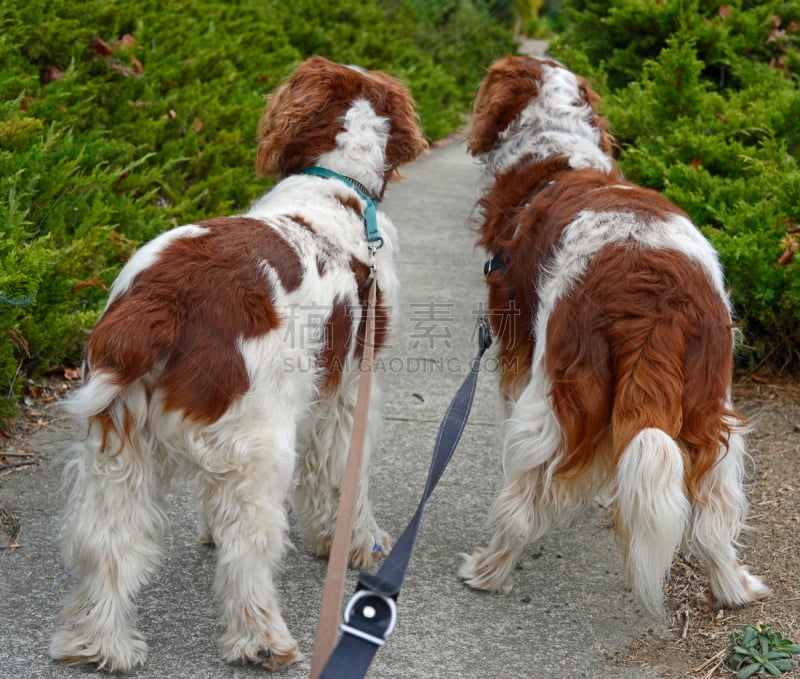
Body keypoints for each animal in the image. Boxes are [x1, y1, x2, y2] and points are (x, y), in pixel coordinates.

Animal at [47, 58, 428, 676]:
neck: (334, 183)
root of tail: (161, 296)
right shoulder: (349, 394)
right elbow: (346, 479)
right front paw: (359, 545)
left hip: (118, 447)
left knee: (108, 543)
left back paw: (101, 644)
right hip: (262, 446)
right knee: (248, 550)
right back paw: (262, 641)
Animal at [456, 57, 768, 616]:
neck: (555, 154)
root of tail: (655, 292)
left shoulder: (517, 351)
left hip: (556, 398)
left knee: (522, 502)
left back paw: (488, 570)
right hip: (711, 406)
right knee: (715, 513)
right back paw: (734, 586)